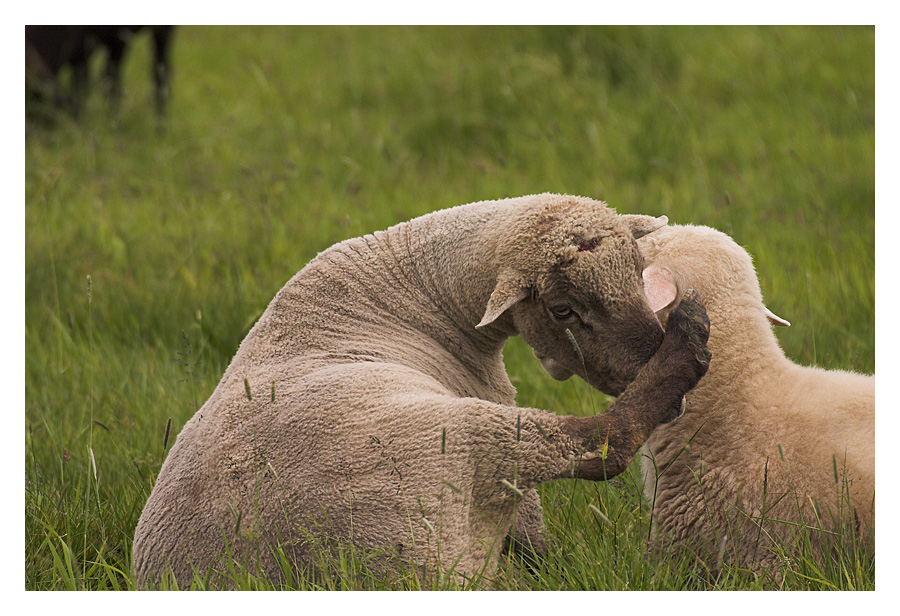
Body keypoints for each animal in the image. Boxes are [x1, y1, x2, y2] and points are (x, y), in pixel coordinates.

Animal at [134, 192, 712, 588]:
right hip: (459, 440)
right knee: (600, 444)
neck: (421, 291)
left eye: (640, 273)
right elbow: (534, 528)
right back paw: (689, 340)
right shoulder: (491, 403)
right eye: (564, 310)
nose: (649, 357)